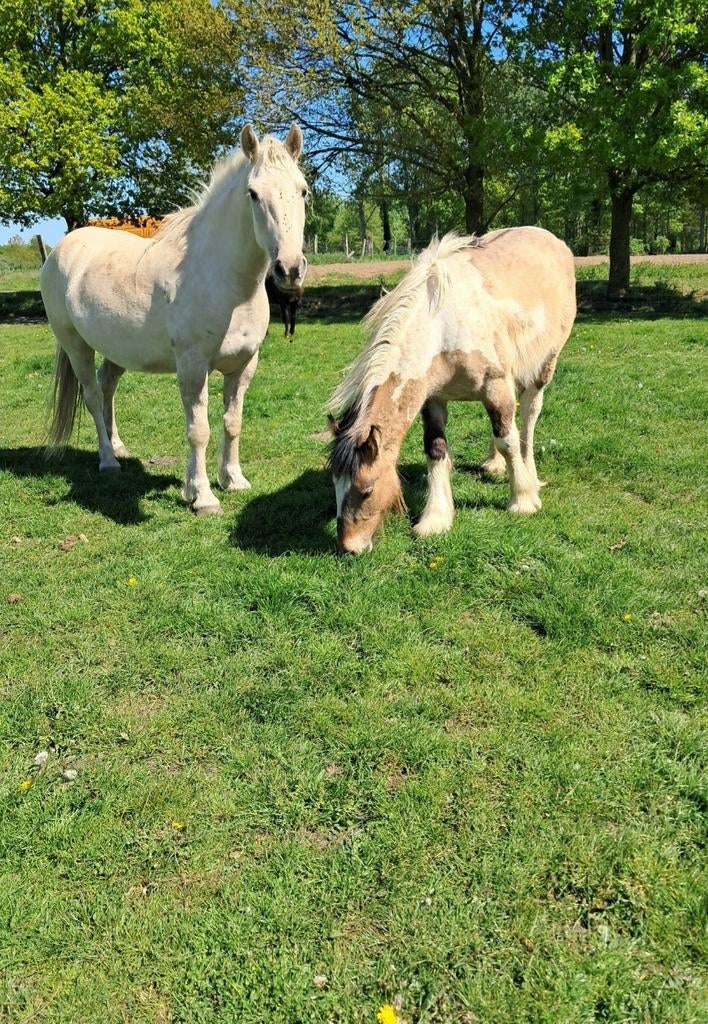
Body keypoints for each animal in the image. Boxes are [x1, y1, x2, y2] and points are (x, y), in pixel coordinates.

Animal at [42, 124, 308, 516]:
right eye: (253, 194)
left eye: (302, 190)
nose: (289, 269)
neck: (225, 281)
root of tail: (61, 248)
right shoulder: (193, 366)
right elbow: (199, 429)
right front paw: (203, 496)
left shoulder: (243, 365)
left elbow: (232, 423)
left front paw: (233, 480)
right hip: (76, 346)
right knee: (91, 395)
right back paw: (108, 460)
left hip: (117, 351)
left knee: (107, 388)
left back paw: (119, 447)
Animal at [327, 227, 576, 554]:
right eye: (334, 484)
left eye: (367, 490)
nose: (350, 547)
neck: (443, 325)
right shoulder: (433, 399)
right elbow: (436, 449)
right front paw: (435, 519)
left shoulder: (495, 386)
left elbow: (508, 441)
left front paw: (523, 500)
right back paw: (494, 464)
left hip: (543, 367)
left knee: (528, 416)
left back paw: (529, 472)